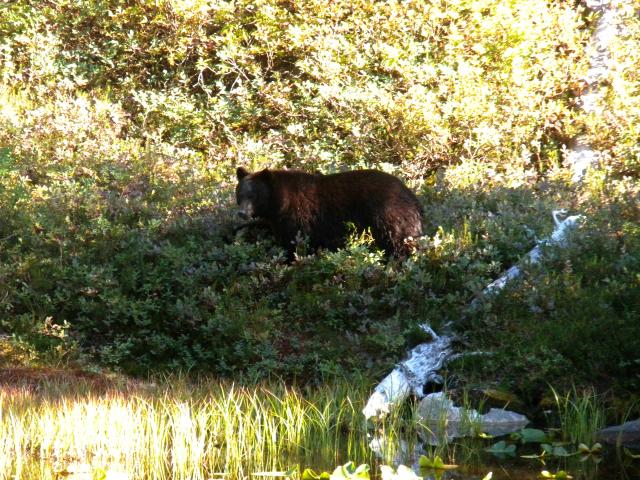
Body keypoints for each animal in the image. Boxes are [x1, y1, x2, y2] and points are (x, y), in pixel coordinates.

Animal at [235, 168, 424, 260]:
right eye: (240, 194)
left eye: (254, 195)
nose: (242, 213)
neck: (280, 202)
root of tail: (412, 198)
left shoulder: (297, 218)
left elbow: (294, 244)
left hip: (388, 216)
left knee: (396, 241)